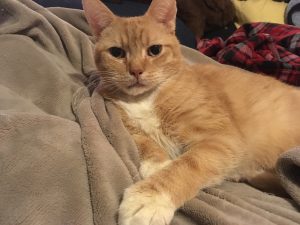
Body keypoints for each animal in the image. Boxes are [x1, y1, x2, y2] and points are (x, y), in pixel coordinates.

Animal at [83, 0, 300, 225]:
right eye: (116, 53)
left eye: (154, 50)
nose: (135, 71)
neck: (146, 98)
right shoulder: (125, 123)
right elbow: (143, 141)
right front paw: (158, 164)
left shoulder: (221, 140)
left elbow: (184, 167)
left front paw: (149, 198)